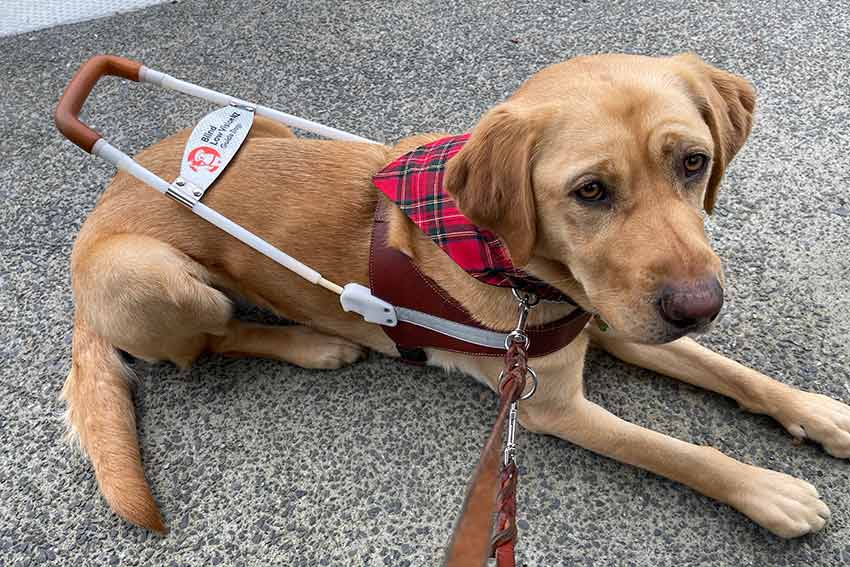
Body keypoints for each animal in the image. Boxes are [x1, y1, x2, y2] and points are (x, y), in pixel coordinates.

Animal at [64, 55, 848, 540]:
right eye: (591, 191)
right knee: (211, 340)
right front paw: (767, 490)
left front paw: (817, 412)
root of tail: (101, 204)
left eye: (693, 162)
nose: (700, 306)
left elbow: (735, 373)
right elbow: (678, 451)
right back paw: (314, 343)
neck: (523, 268)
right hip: (153, 274)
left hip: (259, 123)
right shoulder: (552, 405)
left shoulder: (614, 321)